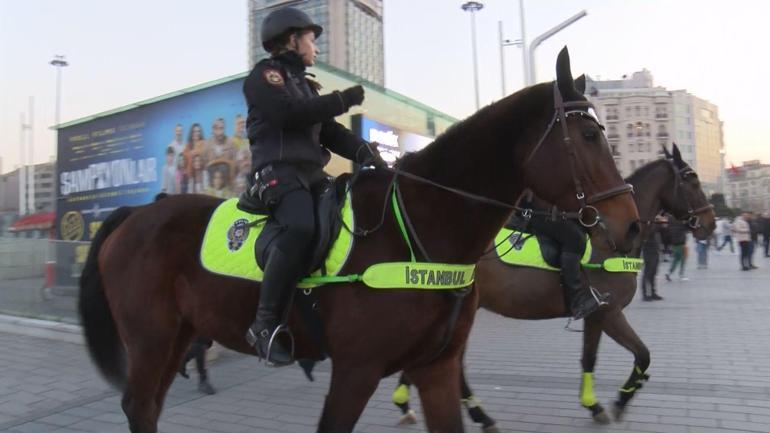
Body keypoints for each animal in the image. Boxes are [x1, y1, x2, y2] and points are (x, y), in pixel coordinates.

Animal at [78, 45, 636, 430]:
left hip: (176, 334)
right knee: (139, 404)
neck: (417, 227)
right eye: (590, 135)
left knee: (148, 407)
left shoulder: (436, 368)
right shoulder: (356, 370)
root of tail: (136, 213)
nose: (631, 224)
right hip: (151, 337)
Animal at [392, 143, 716, 430]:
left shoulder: (595, 316)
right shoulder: (609, 313)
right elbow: (643, 355)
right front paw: (622, 399)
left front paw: (593, 404)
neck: (612, 238)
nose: (711, 223)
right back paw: (474, 413)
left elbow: (589, 358)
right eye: (692, 180)